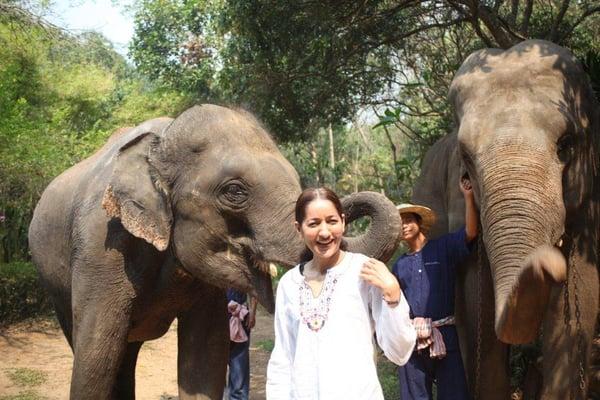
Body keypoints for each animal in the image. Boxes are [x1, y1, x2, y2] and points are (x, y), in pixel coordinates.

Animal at [29, 104, 404, 398]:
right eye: (235, 191)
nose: (335, 206)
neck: (162, 140)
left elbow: (205, 355)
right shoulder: (102, 246)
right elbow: (94, 357)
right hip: (56, 287)